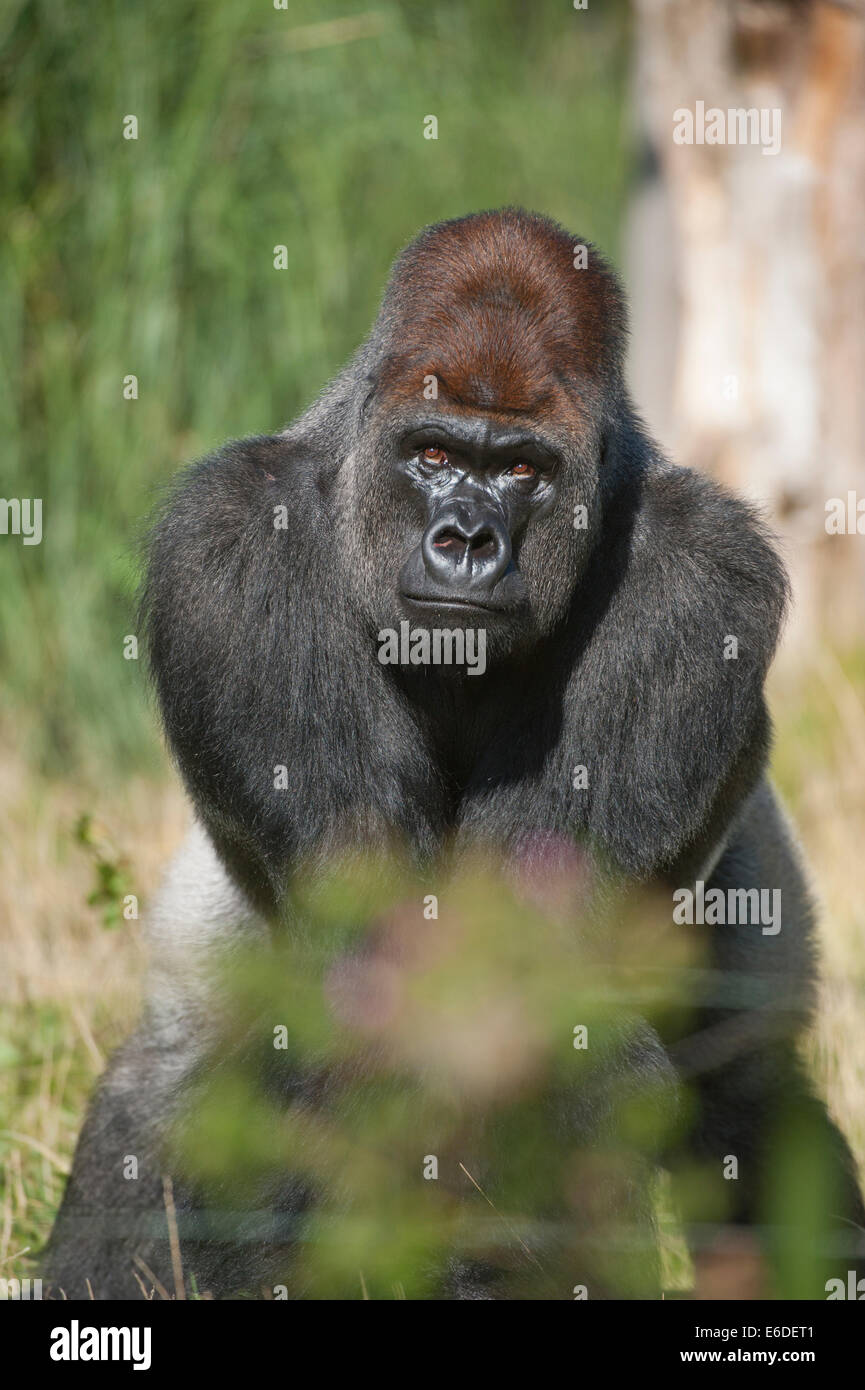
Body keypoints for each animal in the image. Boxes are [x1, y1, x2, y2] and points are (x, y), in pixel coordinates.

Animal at [49, 208, 865, 1301]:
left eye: (522, 469)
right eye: (433, 454)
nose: (466, 540)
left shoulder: (702, 576)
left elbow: (508, 979)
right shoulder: (231, 539)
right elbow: (373, 955)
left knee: (744, 1093)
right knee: (164, 1086)